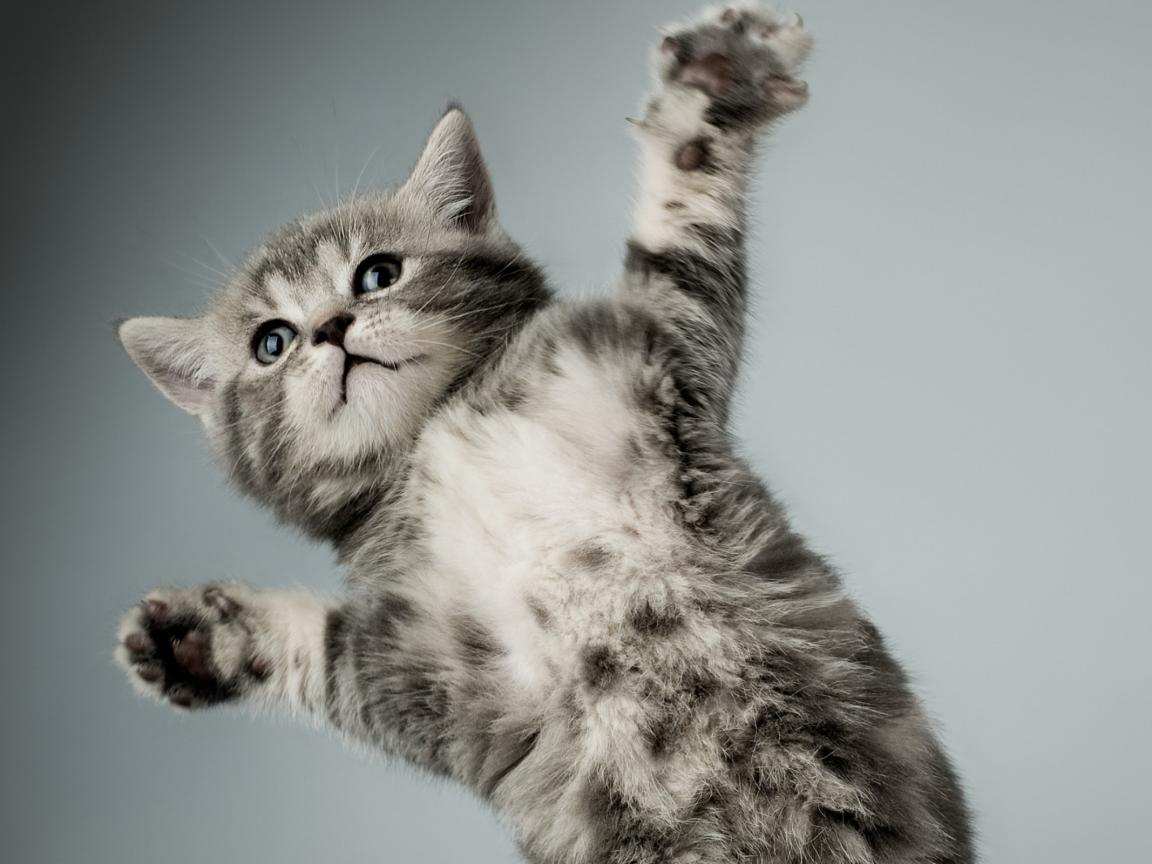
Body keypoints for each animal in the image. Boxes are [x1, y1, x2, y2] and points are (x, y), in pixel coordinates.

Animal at [115, 5, 974, 862]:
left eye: (378, 273)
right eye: (271, 343)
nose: (329, 328)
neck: (442, 425)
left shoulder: (659, 350)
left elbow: (681, 229)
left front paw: (711, 86)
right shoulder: (435, 675)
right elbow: (329, 652)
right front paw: (199, 640)